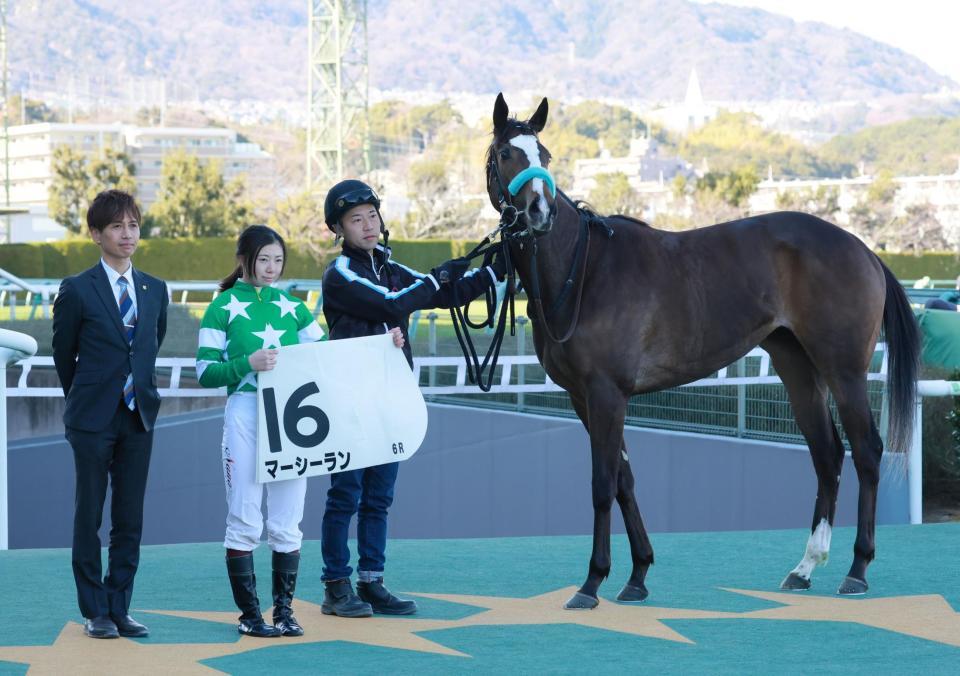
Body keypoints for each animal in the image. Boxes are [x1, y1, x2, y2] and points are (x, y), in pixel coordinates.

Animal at [488, 93, 924, 608]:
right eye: (506, 154)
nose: (540, 210)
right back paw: (804, 567)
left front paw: (592, 582)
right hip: (797, 367)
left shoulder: (606, 393)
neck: (585, 270)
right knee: (828, 454)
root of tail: (866, 251)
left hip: (845, 370)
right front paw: (637, 574)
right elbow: (624, 481)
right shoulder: (584, 398)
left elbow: (602, 484)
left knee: (867, 451)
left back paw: (857, 569)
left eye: (546, 156)